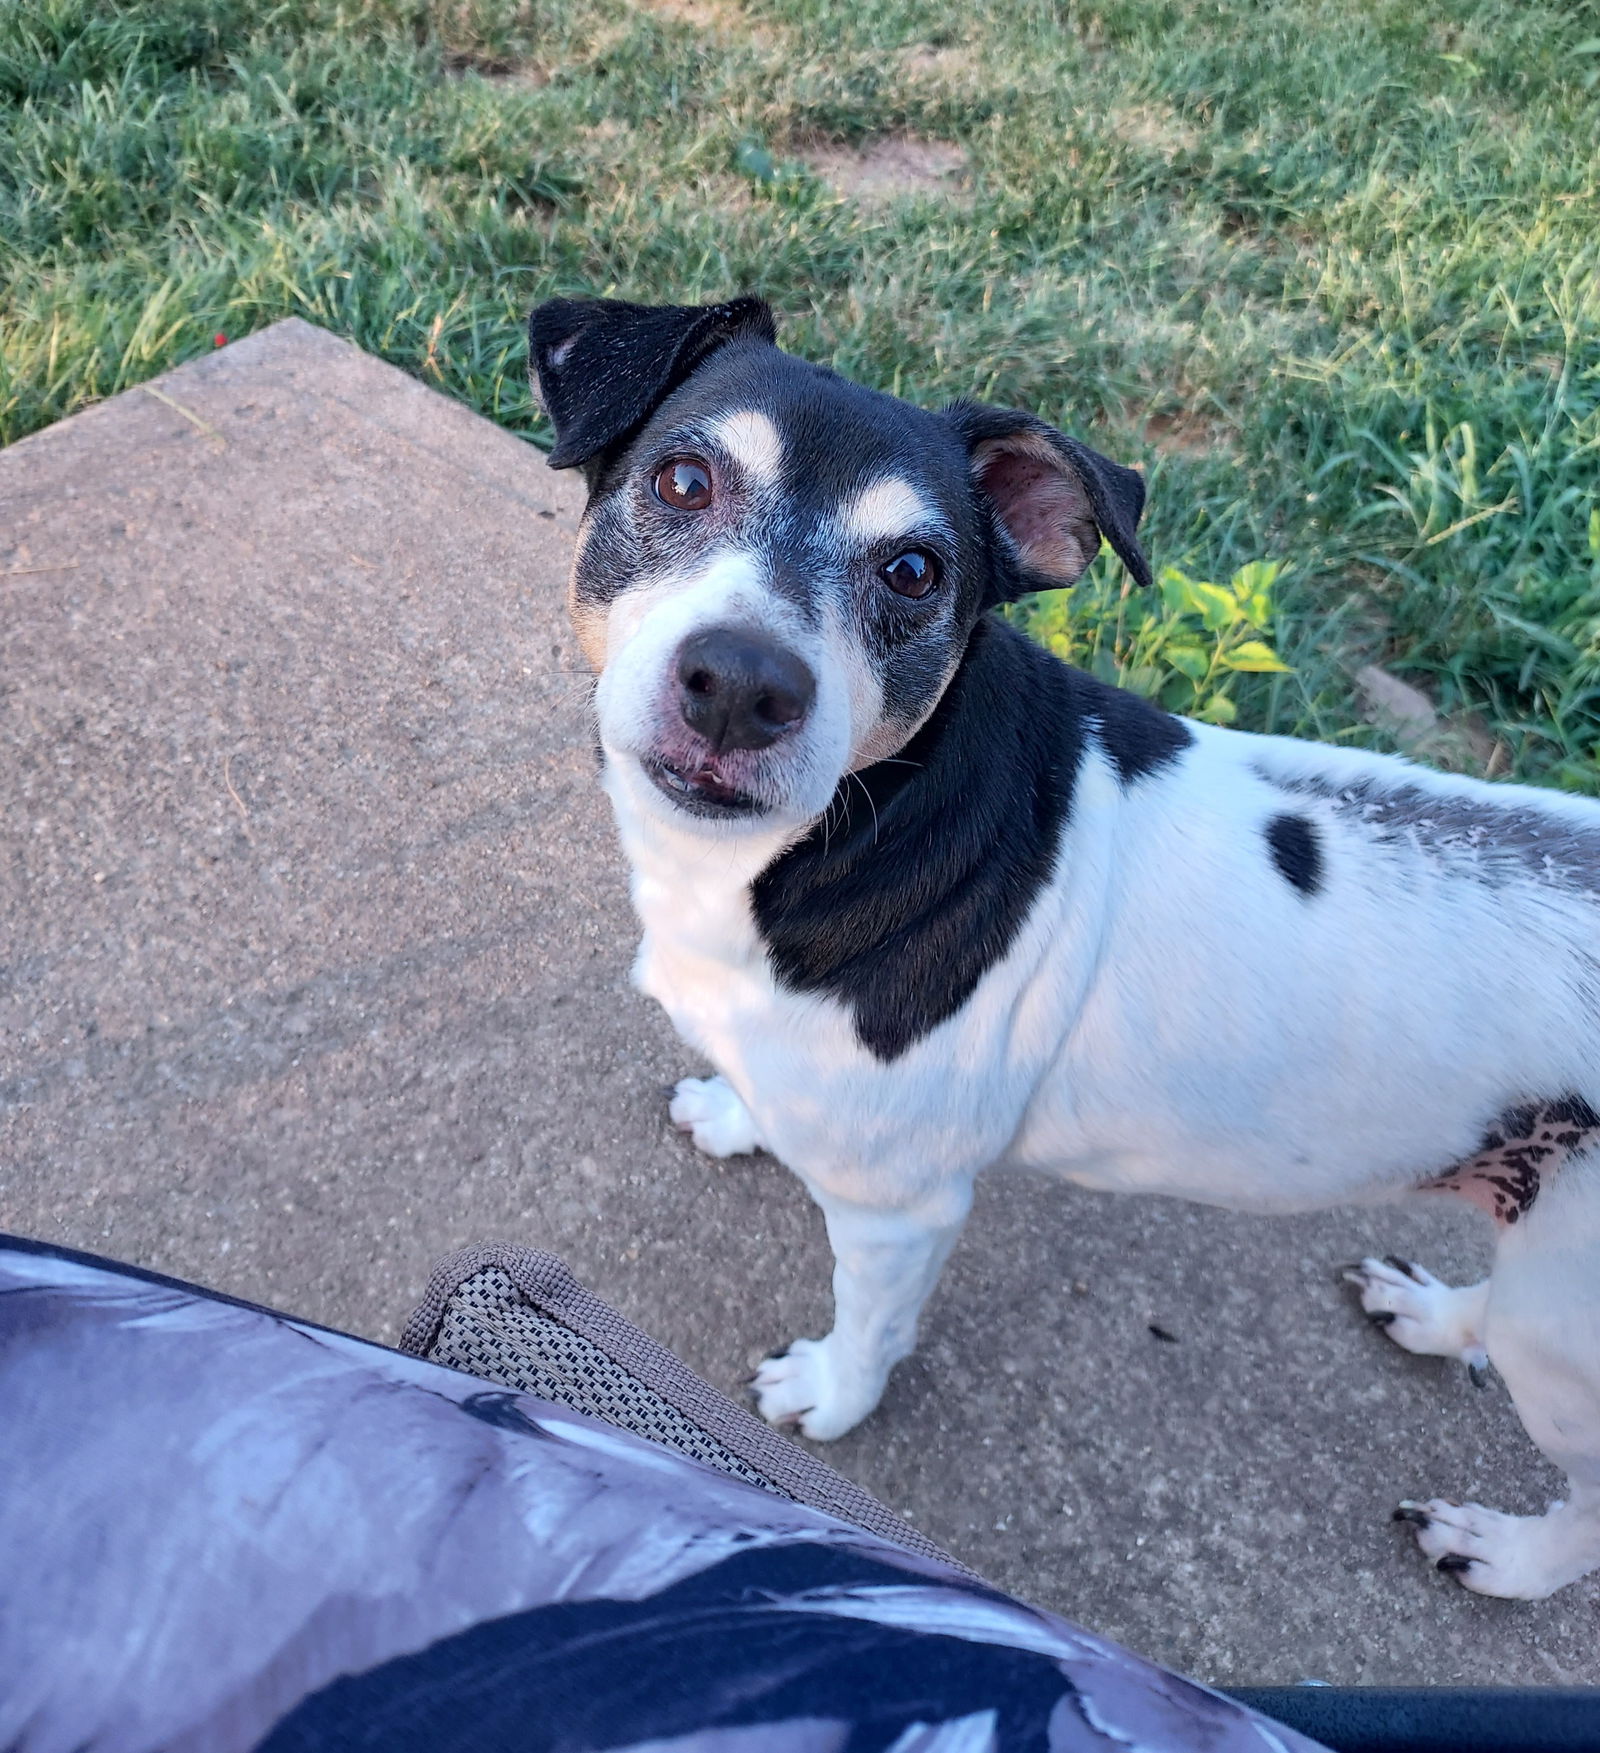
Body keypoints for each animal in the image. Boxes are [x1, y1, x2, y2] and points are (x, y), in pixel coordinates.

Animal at [525, 294, 1598, 1598]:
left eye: (916, 569)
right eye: (682, 480)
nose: (740, 683)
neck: (855, 825)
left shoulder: (904, 1212)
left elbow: (871, 1323)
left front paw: (830, 1396)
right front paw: (739, 1113)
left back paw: (1504, 1553)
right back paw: (1439, 1319)